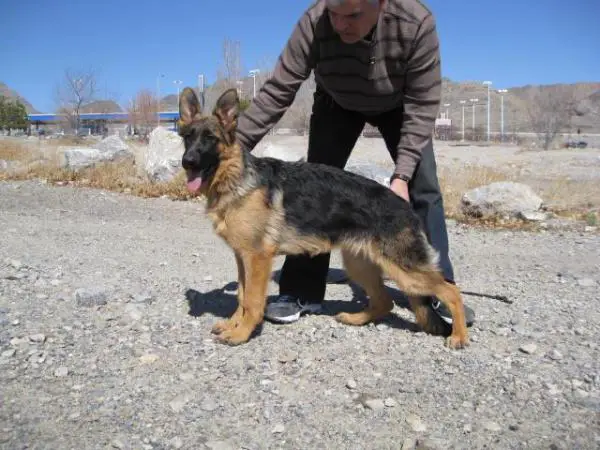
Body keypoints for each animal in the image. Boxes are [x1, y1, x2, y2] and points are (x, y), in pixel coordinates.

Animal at [177, 86, 468, 350]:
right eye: (188, 137)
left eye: (210, 138)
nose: (187, 162)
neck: (235, 178)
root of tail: (403, 204)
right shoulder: (242, 258)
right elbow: (241, 295)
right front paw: (233, 325)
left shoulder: (257, 259)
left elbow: (253, 300)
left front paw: (242, 333)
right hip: (359, 265)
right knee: (384, 301)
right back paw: (354, 318)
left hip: (404, 270)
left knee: (451, 291)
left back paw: (459, 336)